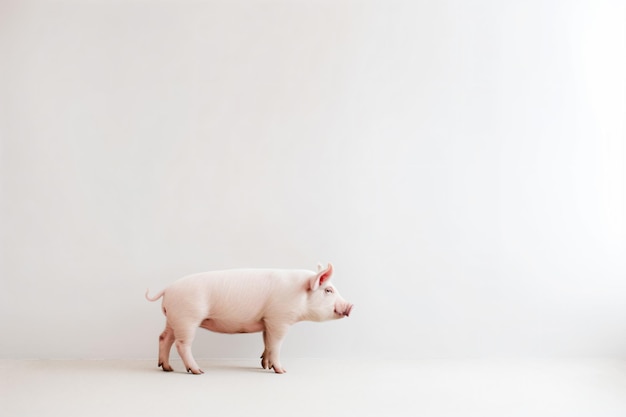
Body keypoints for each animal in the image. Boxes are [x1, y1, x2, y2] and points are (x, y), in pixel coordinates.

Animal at [144, 264, 354, 374]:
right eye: (329, 290)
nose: (350, 306)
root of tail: (168, 289)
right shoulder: (279, 318)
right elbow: (276, 344)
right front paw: (282, 371)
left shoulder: (267, 320)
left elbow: (267, 343)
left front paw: (265, 366)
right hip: (187, 317)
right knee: (182, 344)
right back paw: (198, 371)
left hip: (173, 318)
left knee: (164, 338)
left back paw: (167, 368)